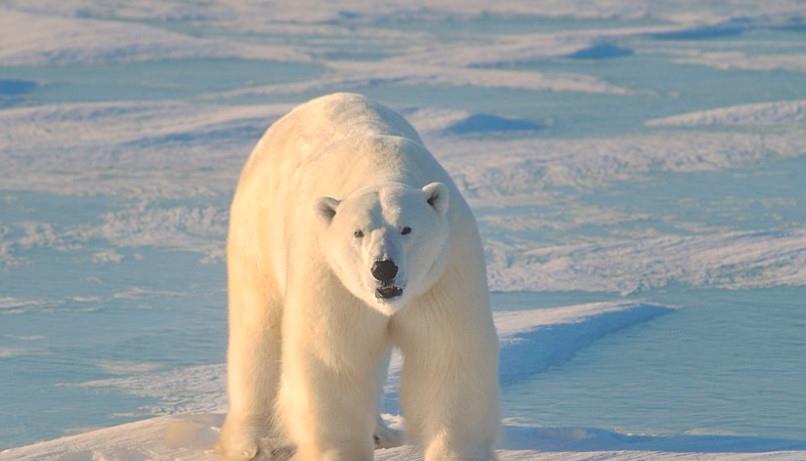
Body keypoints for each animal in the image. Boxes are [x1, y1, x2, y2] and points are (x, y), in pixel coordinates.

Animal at [218, 93, 502, 460]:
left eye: (406, 228)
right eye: (358, 232)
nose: (384, 268)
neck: (379, 168)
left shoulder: (444, 271)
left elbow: (447, 355)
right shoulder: (330, 275)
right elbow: (335, 359)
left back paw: (380, 433)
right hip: (257, 231)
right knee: (258, 331)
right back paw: (254, 442)